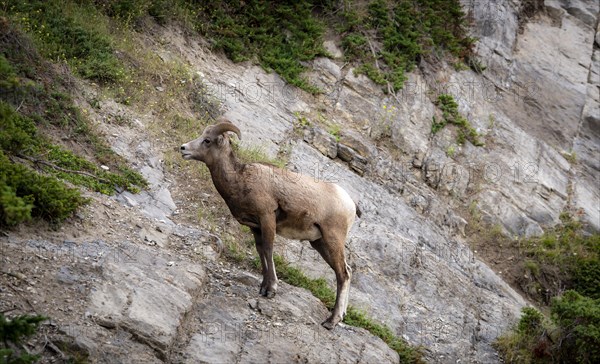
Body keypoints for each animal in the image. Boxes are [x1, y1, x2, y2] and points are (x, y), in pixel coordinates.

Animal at [180, 119, 358, 330]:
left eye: (207, 140)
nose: (183, 148)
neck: (240, 179)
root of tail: (350, 204)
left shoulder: (267, 218)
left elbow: (268, 249)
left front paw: (271, 290)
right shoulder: (255, 227)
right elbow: (261, 251)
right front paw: (263, 287)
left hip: (332, 239)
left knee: (343, 274)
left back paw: (331, 321)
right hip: (319, 243)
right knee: (346, 272)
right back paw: (340, 317)